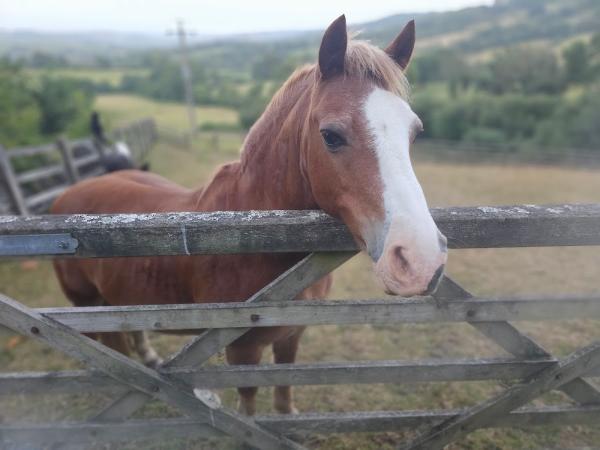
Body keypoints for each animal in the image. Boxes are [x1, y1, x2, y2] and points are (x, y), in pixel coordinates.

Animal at [50, 14, 446, 414]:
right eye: (331, 136)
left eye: (414, 133)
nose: (420, 261)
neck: (255, 238)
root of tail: (68, 195)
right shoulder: (242, 348)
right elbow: (250, 404)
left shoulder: (291, 334)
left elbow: (284, 395)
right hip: (85, 304)